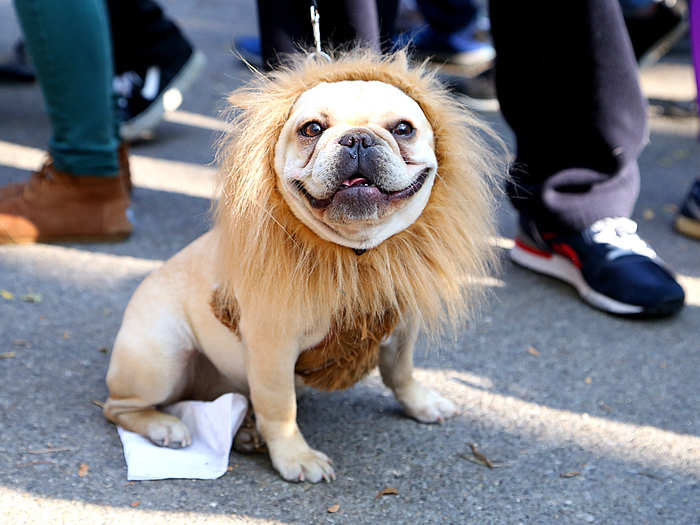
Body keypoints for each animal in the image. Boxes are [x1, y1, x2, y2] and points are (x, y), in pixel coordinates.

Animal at [102, 50, 498, 484]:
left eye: (403, 129)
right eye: (311, 129)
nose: (357, 138)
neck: (356, 258)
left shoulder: (401, 325)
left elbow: (400, 371)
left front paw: (420, 403)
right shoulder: (272, 348)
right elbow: (281, 408)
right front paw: (295, 456)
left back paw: (244, 432)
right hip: (160, 359)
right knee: (118, 407)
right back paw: (167, 427)